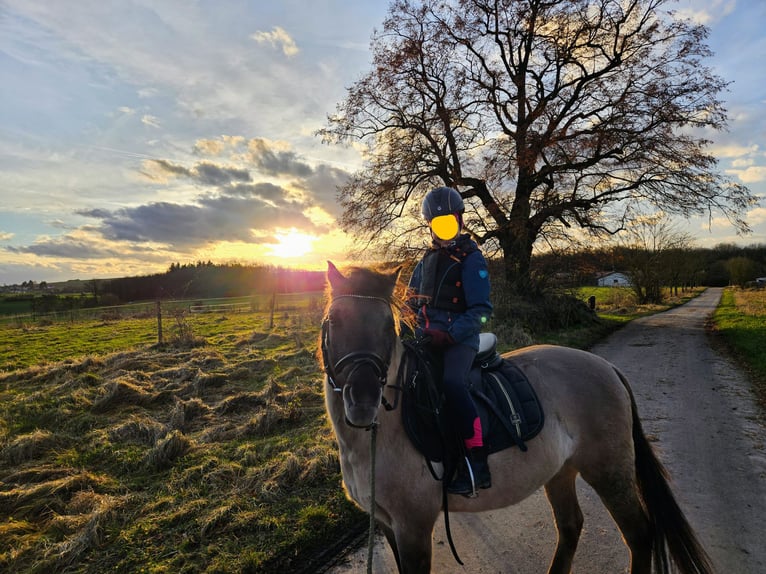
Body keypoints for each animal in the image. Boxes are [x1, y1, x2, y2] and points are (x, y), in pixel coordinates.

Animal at [320, 262, 716, 574]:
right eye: (332, 322)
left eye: (389, 328)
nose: (362, 402)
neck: (383, 435)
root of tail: (607, 367)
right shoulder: (388, 525)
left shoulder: (413, 527)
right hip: (562, 470)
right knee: (571, 526)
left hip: (609, 471)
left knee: (639, 533)